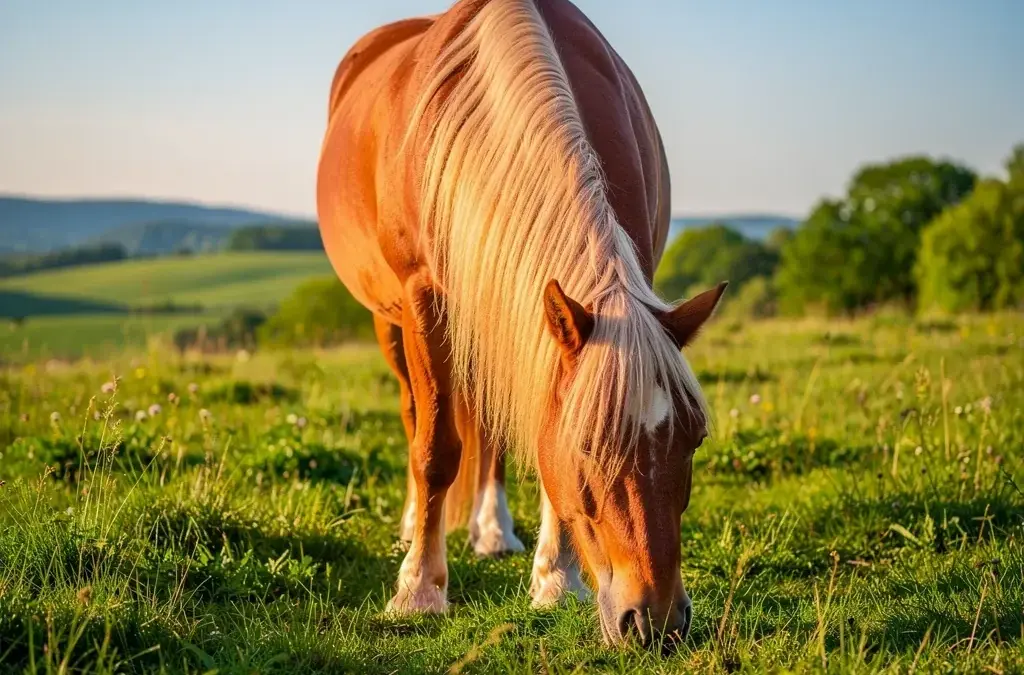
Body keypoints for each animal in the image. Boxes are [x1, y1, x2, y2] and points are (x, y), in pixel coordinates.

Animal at [316, 0, 727, 647]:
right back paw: (412, 529)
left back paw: (492, 530)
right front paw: (419, 590)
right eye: (588, 446)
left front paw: (556, 579)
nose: (656, 622)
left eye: (696, 438)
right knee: (413, 414)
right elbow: (435, 449)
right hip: (390, 320)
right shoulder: (423, 299)